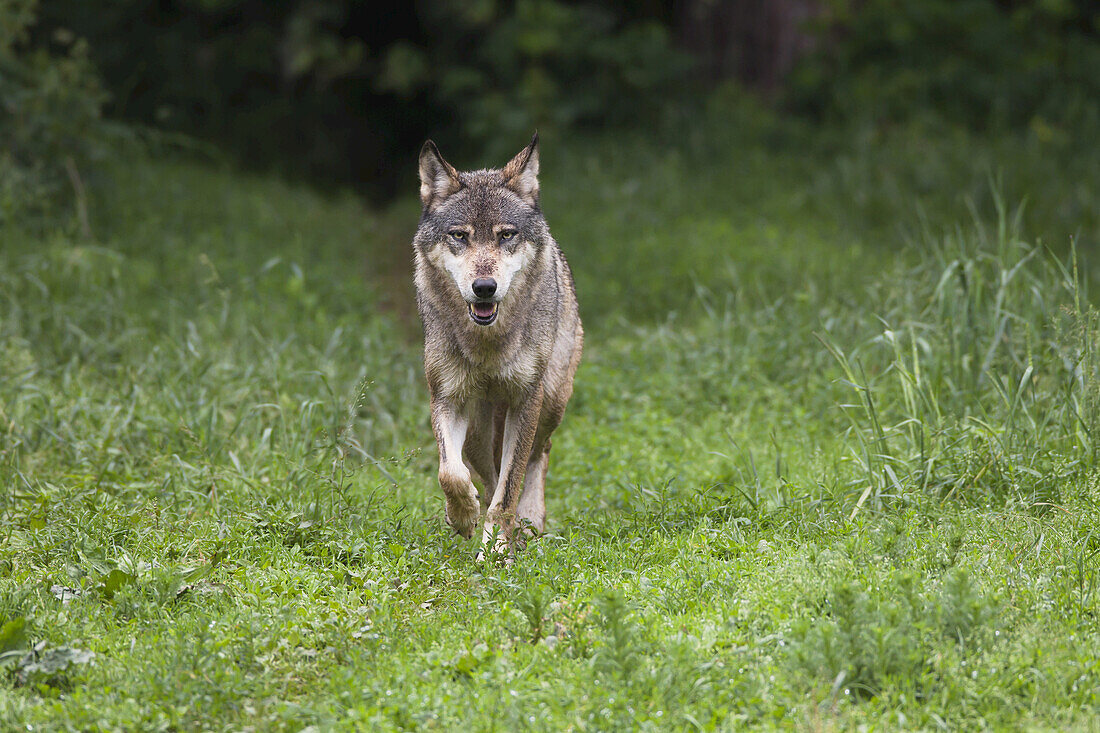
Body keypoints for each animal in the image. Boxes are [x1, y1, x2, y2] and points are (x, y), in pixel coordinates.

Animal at [413, 134, 585, 550]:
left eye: (506, 235)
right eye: (459, 236)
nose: (484, 287)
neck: (487, 345)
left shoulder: (527, 399)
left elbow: (509, 488)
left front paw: (497, 551)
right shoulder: (447, 397)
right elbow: (450, 473)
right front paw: (463, 516)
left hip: (551, 402)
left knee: (538, 456)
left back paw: (530, 522)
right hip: (479, 428)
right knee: (486, 474)